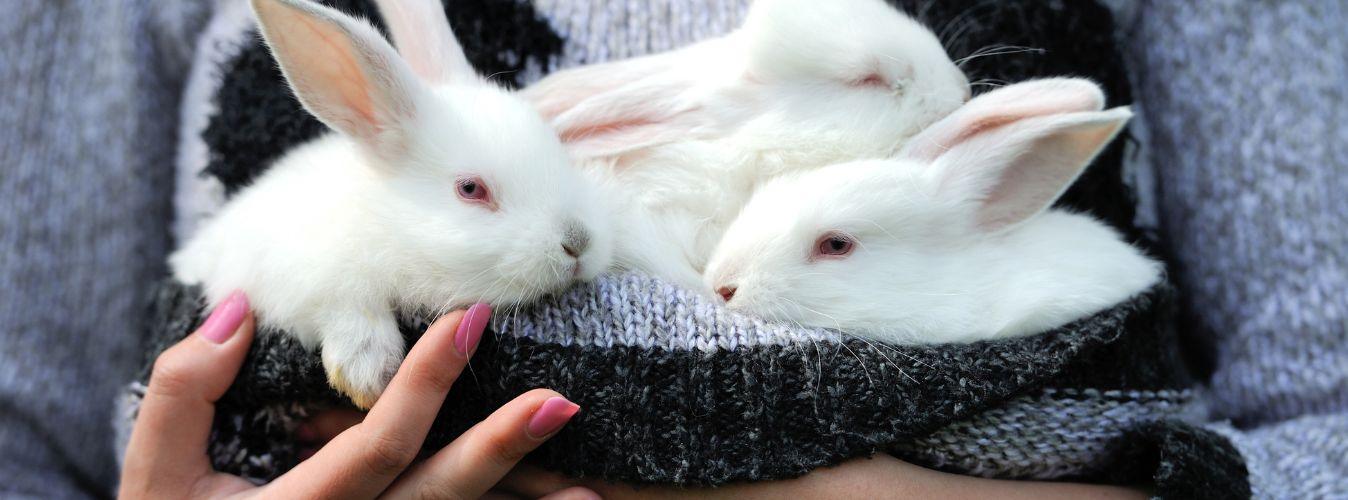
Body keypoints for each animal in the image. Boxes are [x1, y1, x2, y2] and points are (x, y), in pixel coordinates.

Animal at [170, 0, 612, 408]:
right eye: (470, 189)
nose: (578, 242)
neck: (383, 222)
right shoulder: (286, 273)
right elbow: (343, 302)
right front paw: (368, 373)